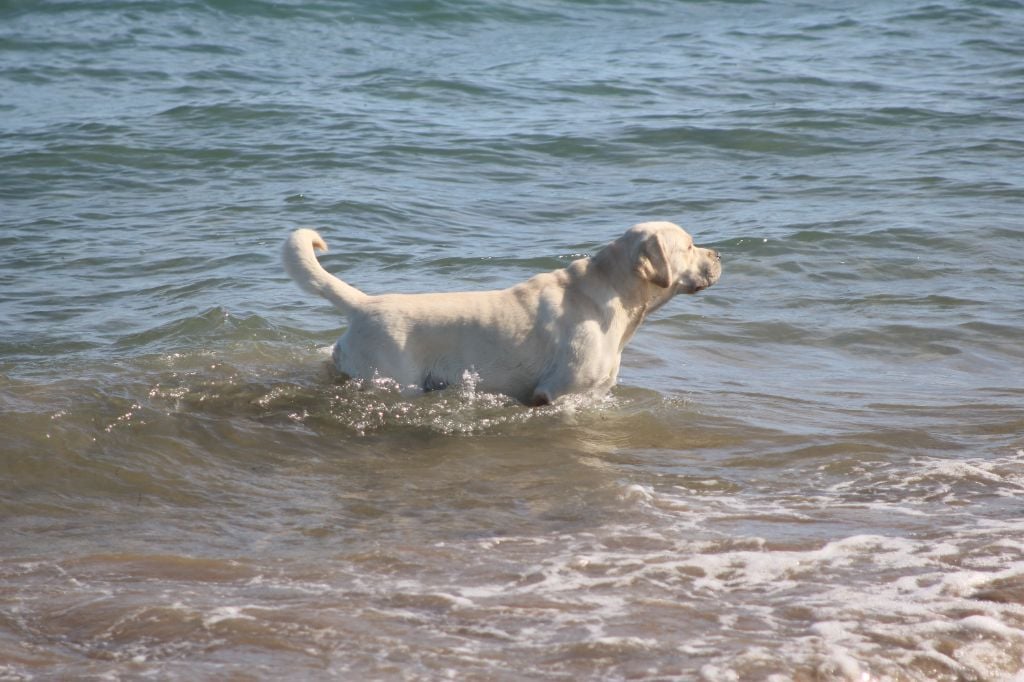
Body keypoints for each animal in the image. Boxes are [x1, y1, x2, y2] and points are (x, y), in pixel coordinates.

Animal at [280, 222, 720, 403]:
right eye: (690, 245)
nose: (718, 255)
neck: (612, 293)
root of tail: (363, 303)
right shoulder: (559, 394)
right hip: (392, 379)